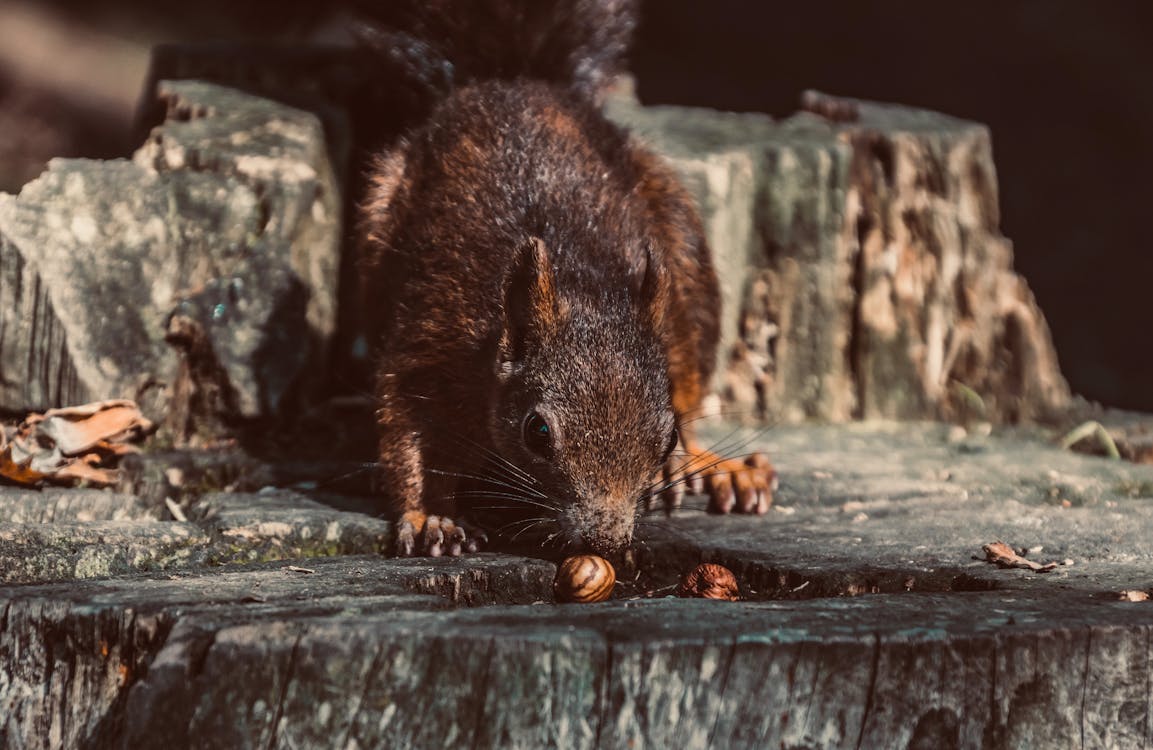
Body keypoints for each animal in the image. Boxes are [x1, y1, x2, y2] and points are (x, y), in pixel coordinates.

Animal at [355, 0, 779, 553]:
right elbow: (409, 424)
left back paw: (715, 468)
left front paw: (684, 459)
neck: (580, 282)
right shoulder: (433, 336)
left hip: (683, 239)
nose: (606, 541)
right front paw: (431, 515)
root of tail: (516, 80)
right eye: (537, 432)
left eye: (665, 436)